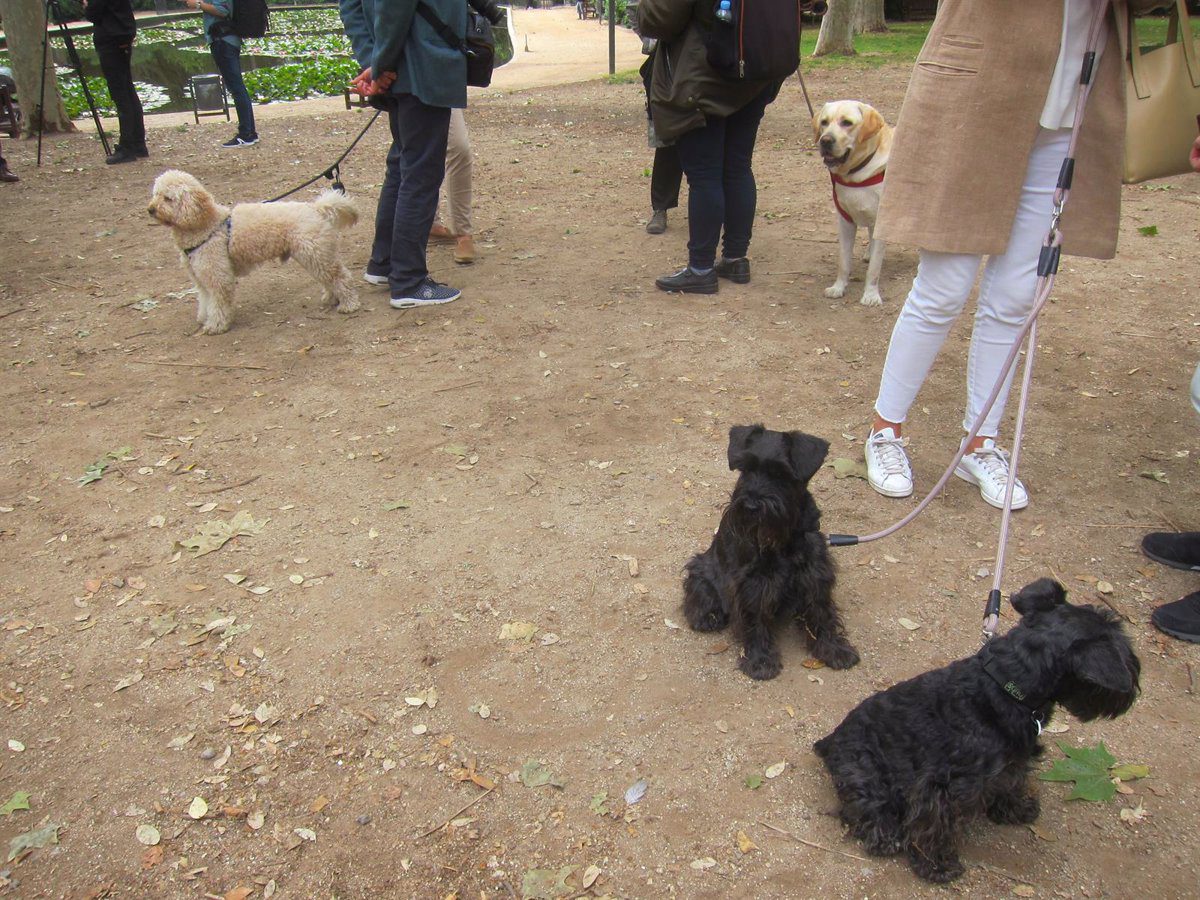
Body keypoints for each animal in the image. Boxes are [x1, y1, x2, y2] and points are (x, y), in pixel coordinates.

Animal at [149, 169, 357, 336]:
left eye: (168, 198)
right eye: (156, 194)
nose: (150, 210)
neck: (206, 225)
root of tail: (315, 208)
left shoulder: (218, 276)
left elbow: (218, 304)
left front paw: (216, 325)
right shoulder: (200, 278)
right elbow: (205, 300)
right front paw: (203, 317)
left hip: (315, 254)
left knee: (341, 277)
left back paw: (349, 304)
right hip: (314, 256)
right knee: (329, 278)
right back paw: (332, 298)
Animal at [681, 427, 859, 681]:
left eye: (781, 473)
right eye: (745, 468)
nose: (751, 506)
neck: (785, 541)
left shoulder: (815, 575)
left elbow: (822, 613)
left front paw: (834, 648)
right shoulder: (755, 583)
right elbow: (755, 619)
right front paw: (760, 660)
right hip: (701, 570)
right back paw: (706, 617)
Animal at [811, 580, 1137, 883]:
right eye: (1124, 651)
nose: (1133, 687)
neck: (1005, 685)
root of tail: (829, 741)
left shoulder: (1011, 762)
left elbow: (1012, 782)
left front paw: (1016, 808)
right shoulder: (941, 788)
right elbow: (933, 826)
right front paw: (936, 865)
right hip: (865, 772)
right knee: (864, 809)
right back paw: (884, 836)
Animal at [816, 102, 892, 309]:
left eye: (847, 122)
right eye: (824, 122)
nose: (825, 141)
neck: (856, 173)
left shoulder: (880, 220)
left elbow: (874, 269)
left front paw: (871, 295)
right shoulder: (845, 221)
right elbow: (843, 261)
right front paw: (838, 288)